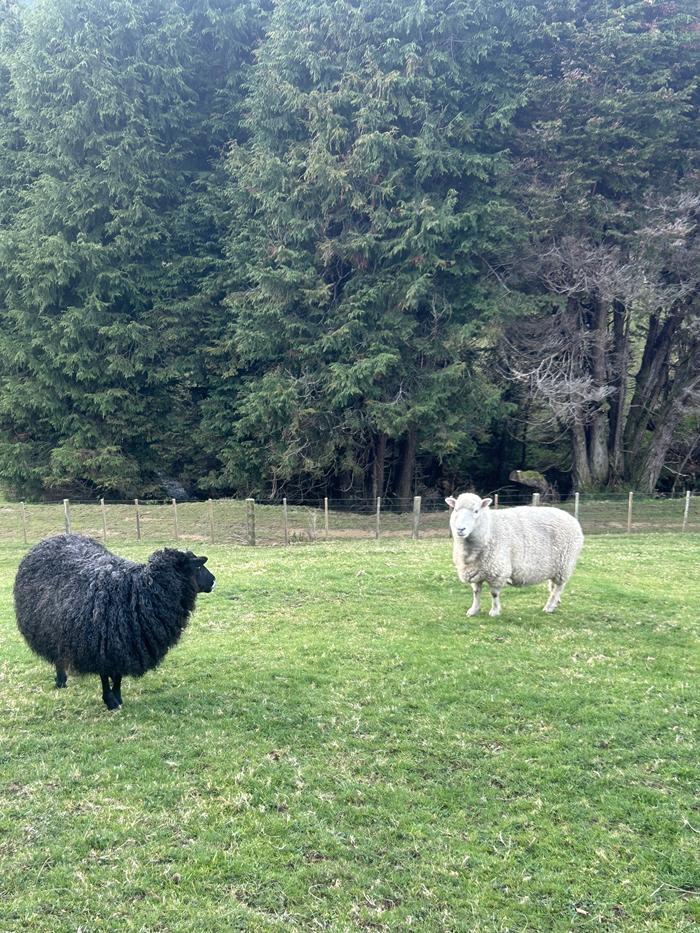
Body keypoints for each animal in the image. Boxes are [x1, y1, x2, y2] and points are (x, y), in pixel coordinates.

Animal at [14, 534, 215, 710]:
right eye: (198, 568)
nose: (214, 580)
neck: (138, 591)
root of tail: (51, 538)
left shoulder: (123, 645)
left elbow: (118, 676)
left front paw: (117, 697)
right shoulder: (102, 645)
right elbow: (105, 675)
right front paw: (110, 701)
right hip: (49, 630)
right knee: (58, 657)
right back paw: (61, 680)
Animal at [446, 493, 583, 617]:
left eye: (476, 511)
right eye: (456, 509)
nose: (460, 529)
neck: (489, 530)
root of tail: (572, 519)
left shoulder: (497, 571)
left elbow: (494, 594)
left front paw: (494, 611)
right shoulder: (474, 571)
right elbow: (476, 592)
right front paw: (473, 610)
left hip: (564, 564)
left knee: (559, 586)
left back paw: (549, 606)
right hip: (554, 566)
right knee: (554, 586)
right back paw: (556, 602)